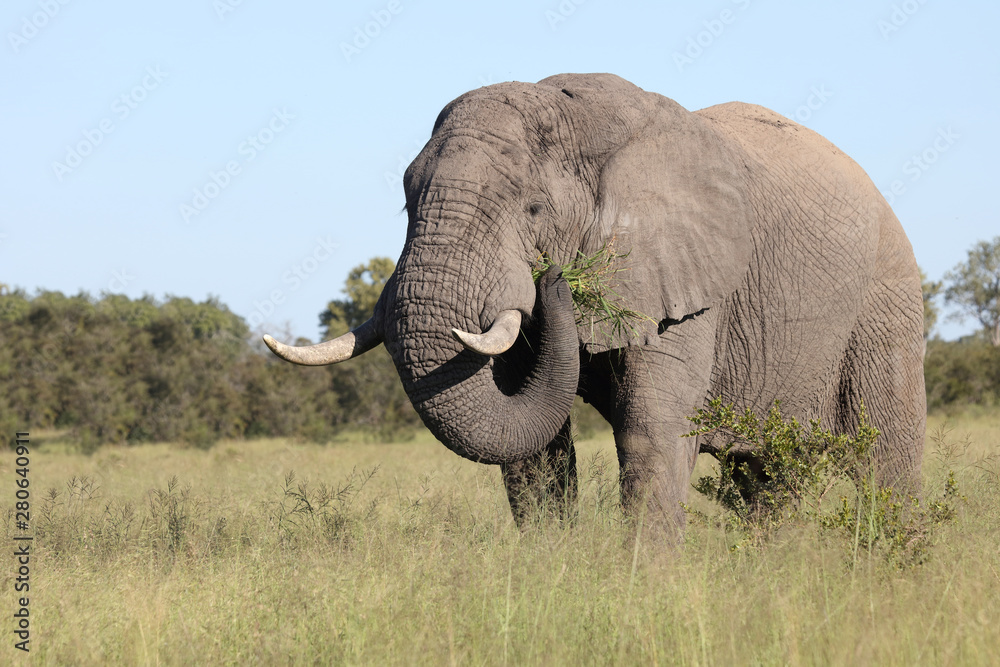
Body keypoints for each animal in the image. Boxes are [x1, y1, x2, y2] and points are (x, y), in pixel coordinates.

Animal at [264, 73, 925, 539]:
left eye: (533, 210)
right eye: (406, 204)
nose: (553, 277)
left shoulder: (685, 284)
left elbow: (651, 431)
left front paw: (646, 596)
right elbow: (532, 444)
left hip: (886, 300)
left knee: (887, 460)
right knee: (768, 478)